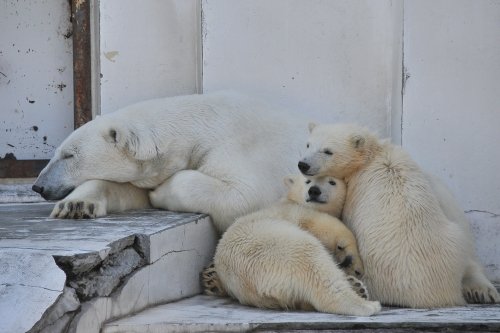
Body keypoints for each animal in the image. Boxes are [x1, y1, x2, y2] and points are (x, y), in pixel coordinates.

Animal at [32, 90, 304, 231]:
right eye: (57, 151)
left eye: (69, 155)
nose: (38, 186)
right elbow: (128, 191)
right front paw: (75, 206)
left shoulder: (243, 148)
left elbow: (246, 194)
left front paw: (160, 193)